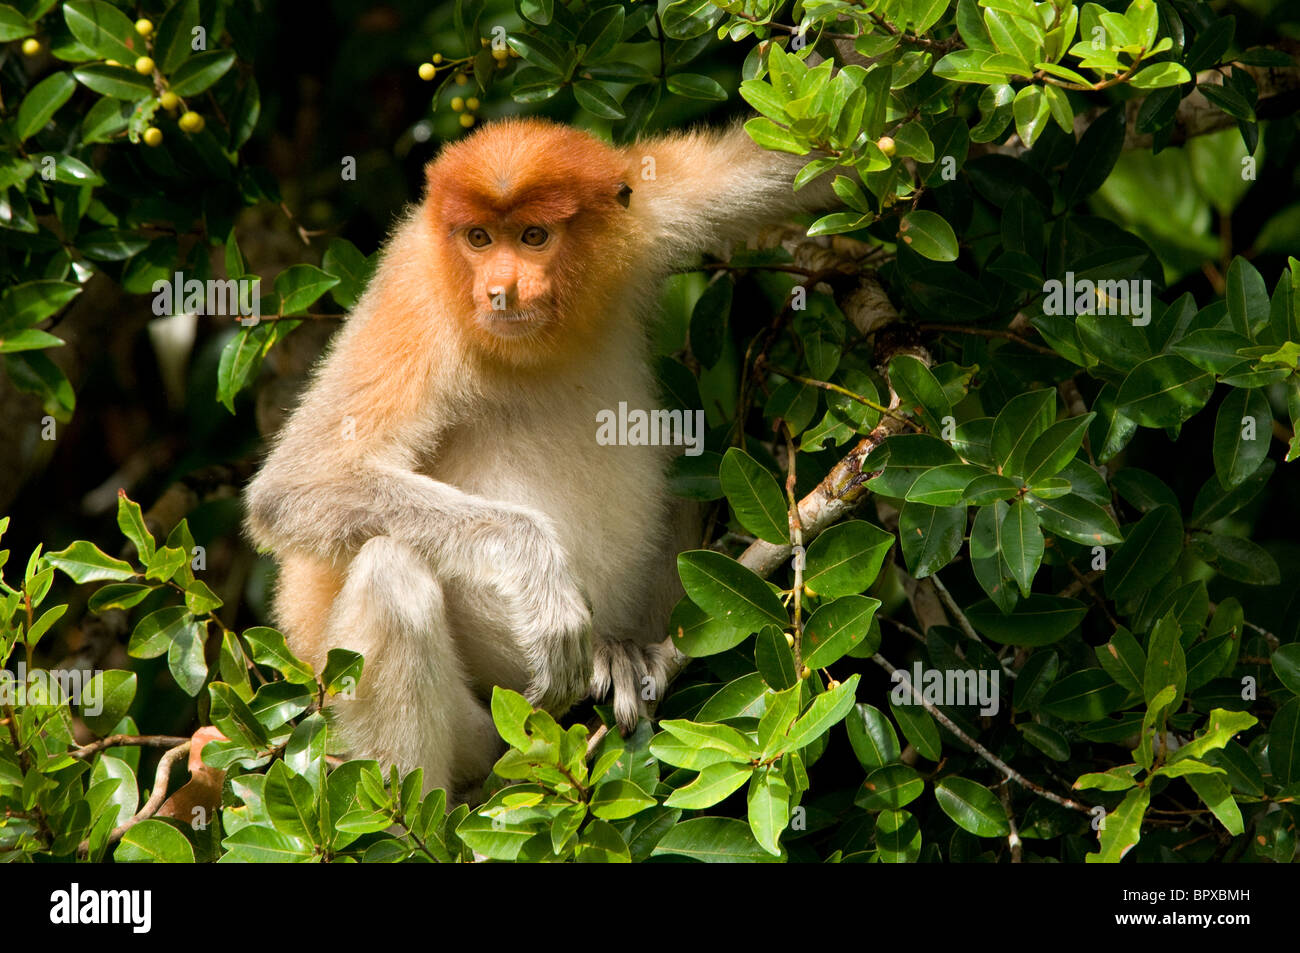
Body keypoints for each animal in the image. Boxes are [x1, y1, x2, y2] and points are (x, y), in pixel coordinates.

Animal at [244, 117, 832, 795]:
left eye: (533, 236)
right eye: (478, 239)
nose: (500, 290)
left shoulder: (646, 211)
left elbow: (791, 167)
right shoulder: (418, 297)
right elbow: (298, 484)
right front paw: (538, 575)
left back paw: (624, 653)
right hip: (481, 731)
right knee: (390, 577)